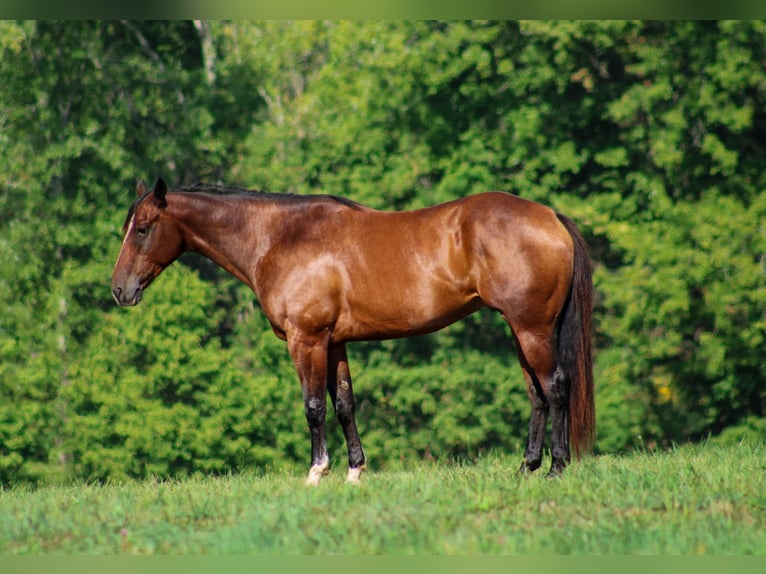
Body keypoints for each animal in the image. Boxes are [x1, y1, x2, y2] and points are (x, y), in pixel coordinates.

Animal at [111, 180, 596, 486]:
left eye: (143, 229)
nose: (119, 290)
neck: (280, 238)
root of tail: (551, 217)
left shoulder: (307, 339)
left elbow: (313, 408)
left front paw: (316, 472)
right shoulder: (335, 342)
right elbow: (344, 404)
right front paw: (355, 471)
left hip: (532, 329)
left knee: (556, 387)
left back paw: (556, 468)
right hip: (519, 331)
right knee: (536, 394)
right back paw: (526, 468)